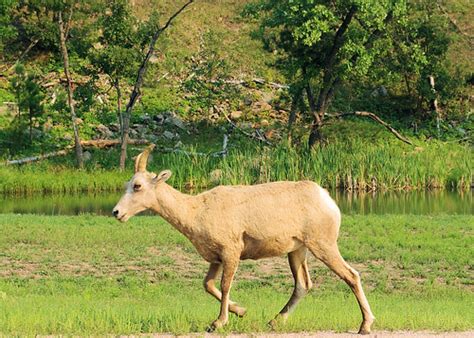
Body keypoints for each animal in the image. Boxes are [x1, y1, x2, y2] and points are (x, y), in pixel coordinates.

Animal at [112, 145, 374, 332]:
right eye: (127, 184)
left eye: (137, 185)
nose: (116, 212)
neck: (196, 211)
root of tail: (327, 199)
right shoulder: (215, 258)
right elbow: (208, 285)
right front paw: (241, 311)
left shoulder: (231, 251)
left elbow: (224, 285)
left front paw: (218, 323)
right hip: (297, 251)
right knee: (303, 284)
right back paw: (274, 321)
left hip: (323, 245)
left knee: (351, 275)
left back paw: (365, 325)